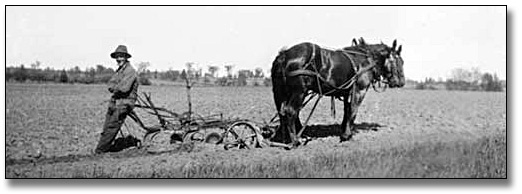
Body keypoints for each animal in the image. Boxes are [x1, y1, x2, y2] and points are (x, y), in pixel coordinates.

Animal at [270, 38, 404, 146]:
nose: (401, 82)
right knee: (291, 111)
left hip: (281, 91)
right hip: (299, 91)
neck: (366, 60)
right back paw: (295, 140)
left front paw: (344, 131)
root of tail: (284, 55)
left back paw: (286, 138)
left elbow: (347, 110)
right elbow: (353, 110)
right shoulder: (359, 90)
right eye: (399, 62)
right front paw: (346, 136)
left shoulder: (346, 92)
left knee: (283, 112)